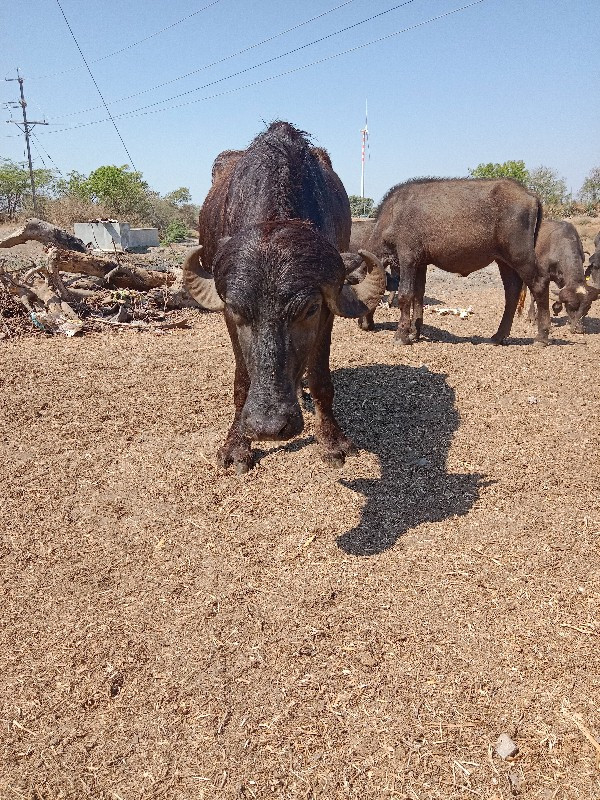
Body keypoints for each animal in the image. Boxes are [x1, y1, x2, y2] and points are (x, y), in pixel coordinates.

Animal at [366, 178, 548, 344]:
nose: (364, 325)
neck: (394, 214)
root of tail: (530, 195)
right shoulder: (420, 264)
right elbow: (418, 297)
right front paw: (414, 333)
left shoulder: (408, 260)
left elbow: (405, 295)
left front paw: (401, 336)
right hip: (504, 261)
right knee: (512, 292)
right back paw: (498, 336)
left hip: (521, 256)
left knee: (539, 284)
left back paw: (542, 337)